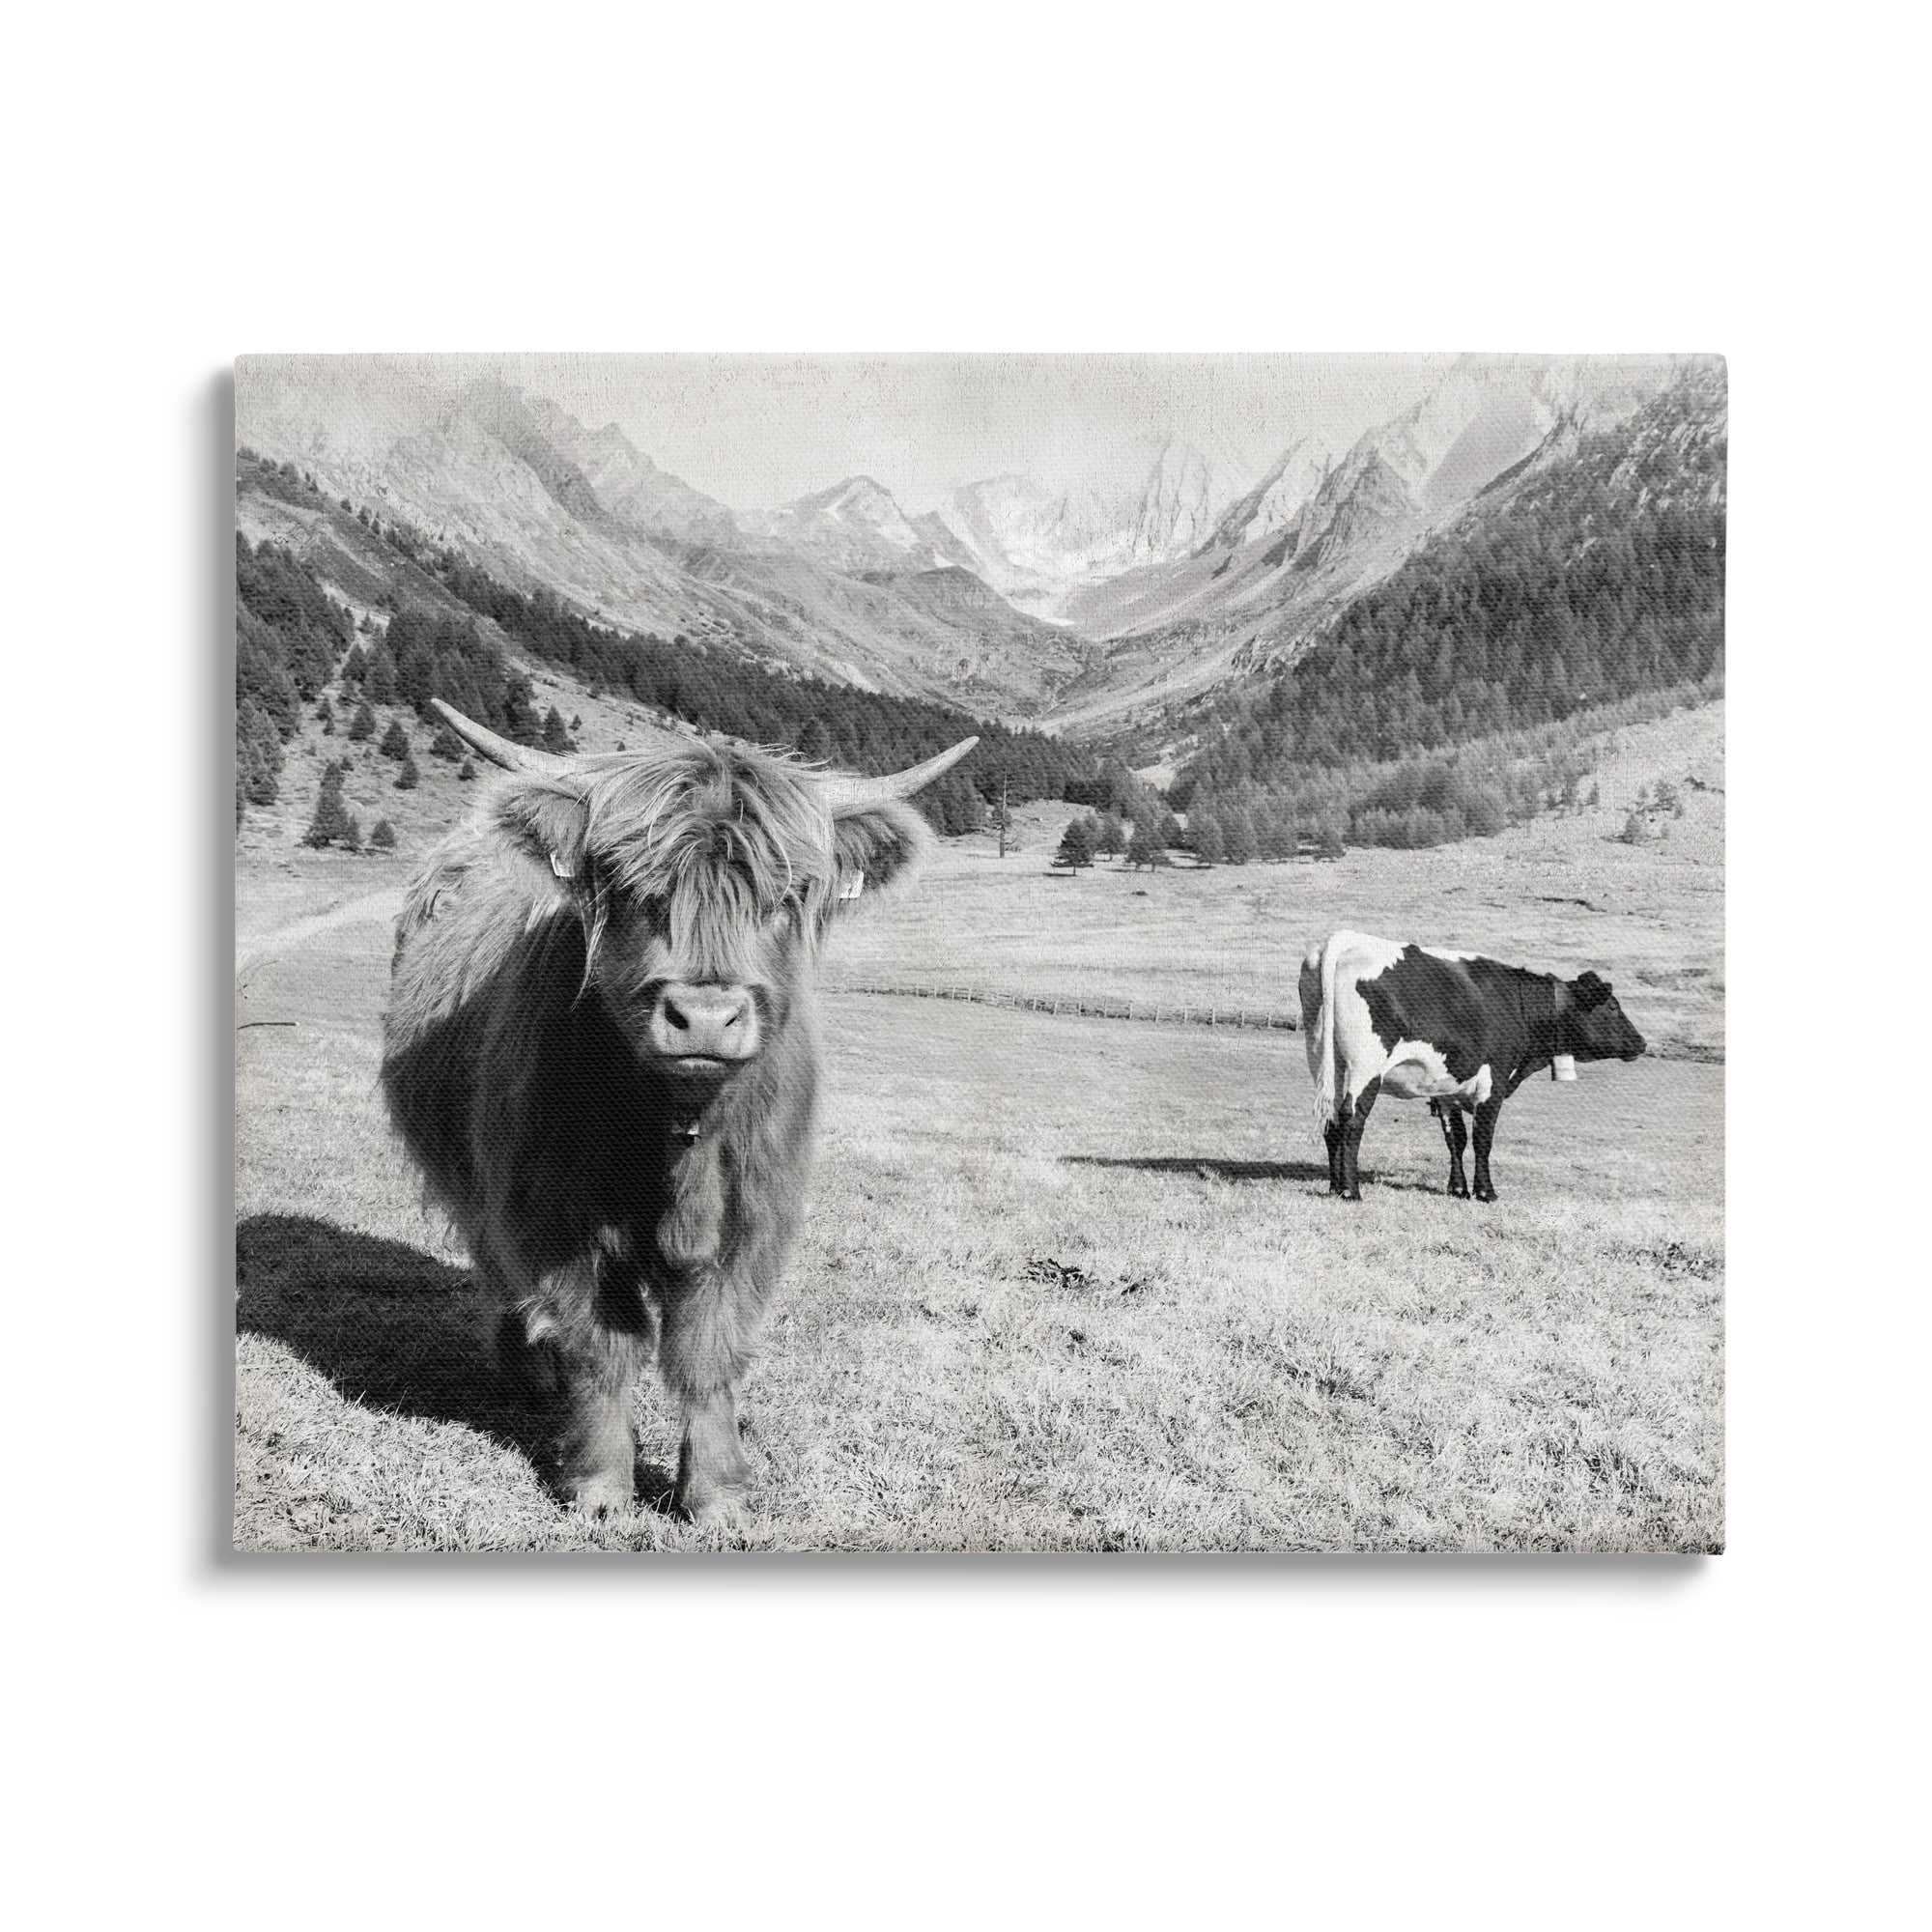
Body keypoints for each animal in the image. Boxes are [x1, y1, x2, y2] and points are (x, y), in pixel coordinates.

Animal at [380, 700, 977, 1521]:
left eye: (785, 894)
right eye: (632, 886)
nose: (704, 1016)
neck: (680, 1126)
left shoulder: (753, 1216)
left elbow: (707, 1351)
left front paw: (717, 1492)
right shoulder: (556, 1211)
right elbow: (604, 1344)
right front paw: (600, 1484)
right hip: (475, 1181)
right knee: (498, 1266)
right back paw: (530, 1373)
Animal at [1297, 929, 1646, 1203]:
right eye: (1613, 1007)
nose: (1641, 1043)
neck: (1519, 1005)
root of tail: (1345, 940)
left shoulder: (1447, 1087)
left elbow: (1456, 1138)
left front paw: (1457, 1188)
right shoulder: (1494, 1080)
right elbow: (1482, 1138)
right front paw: (1485, 1191)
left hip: (1324, 1060)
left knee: (1331, 1119)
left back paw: (1334, 1187)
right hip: (1367, 1065)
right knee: (1352, 1117)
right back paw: (1351, 1191)